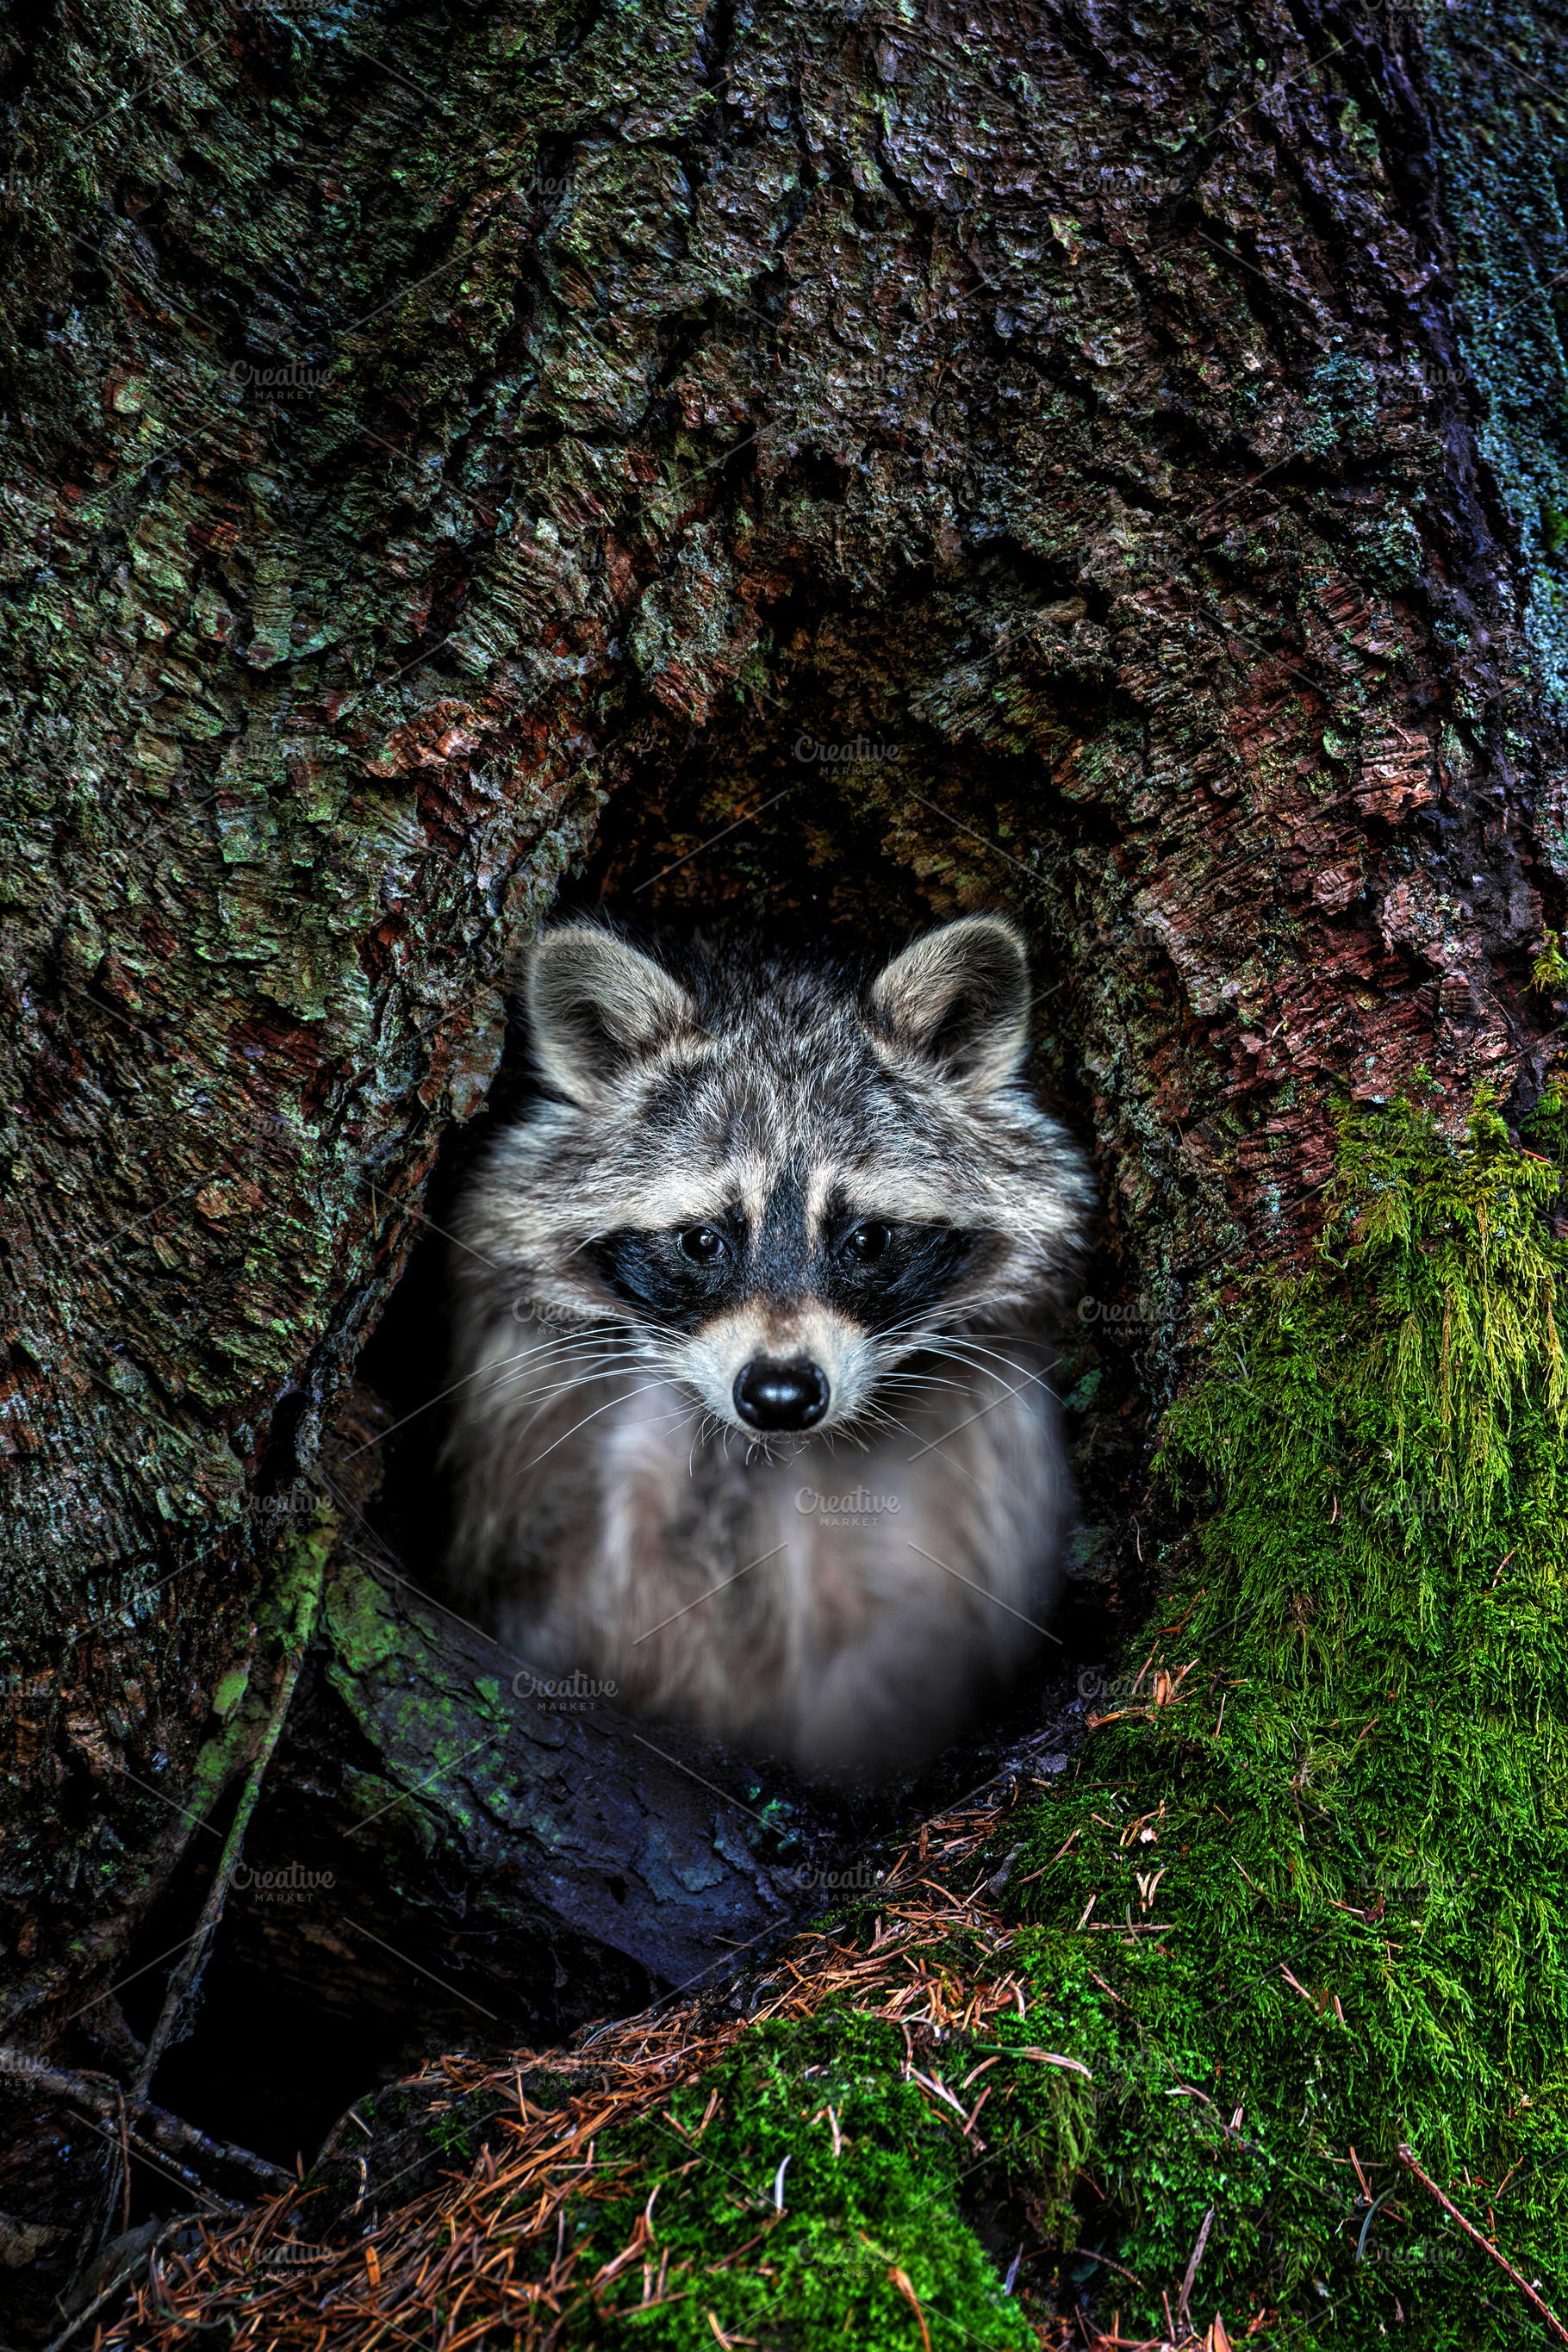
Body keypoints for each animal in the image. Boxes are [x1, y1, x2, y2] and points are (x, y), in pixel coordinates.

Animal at [442, 913, 1094, 1774]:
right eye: (703, 1241)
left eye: (866, 1238)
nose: (781, 1395)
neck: (754, 1454)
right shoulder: (551, 1441)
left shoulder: (961, 1466)